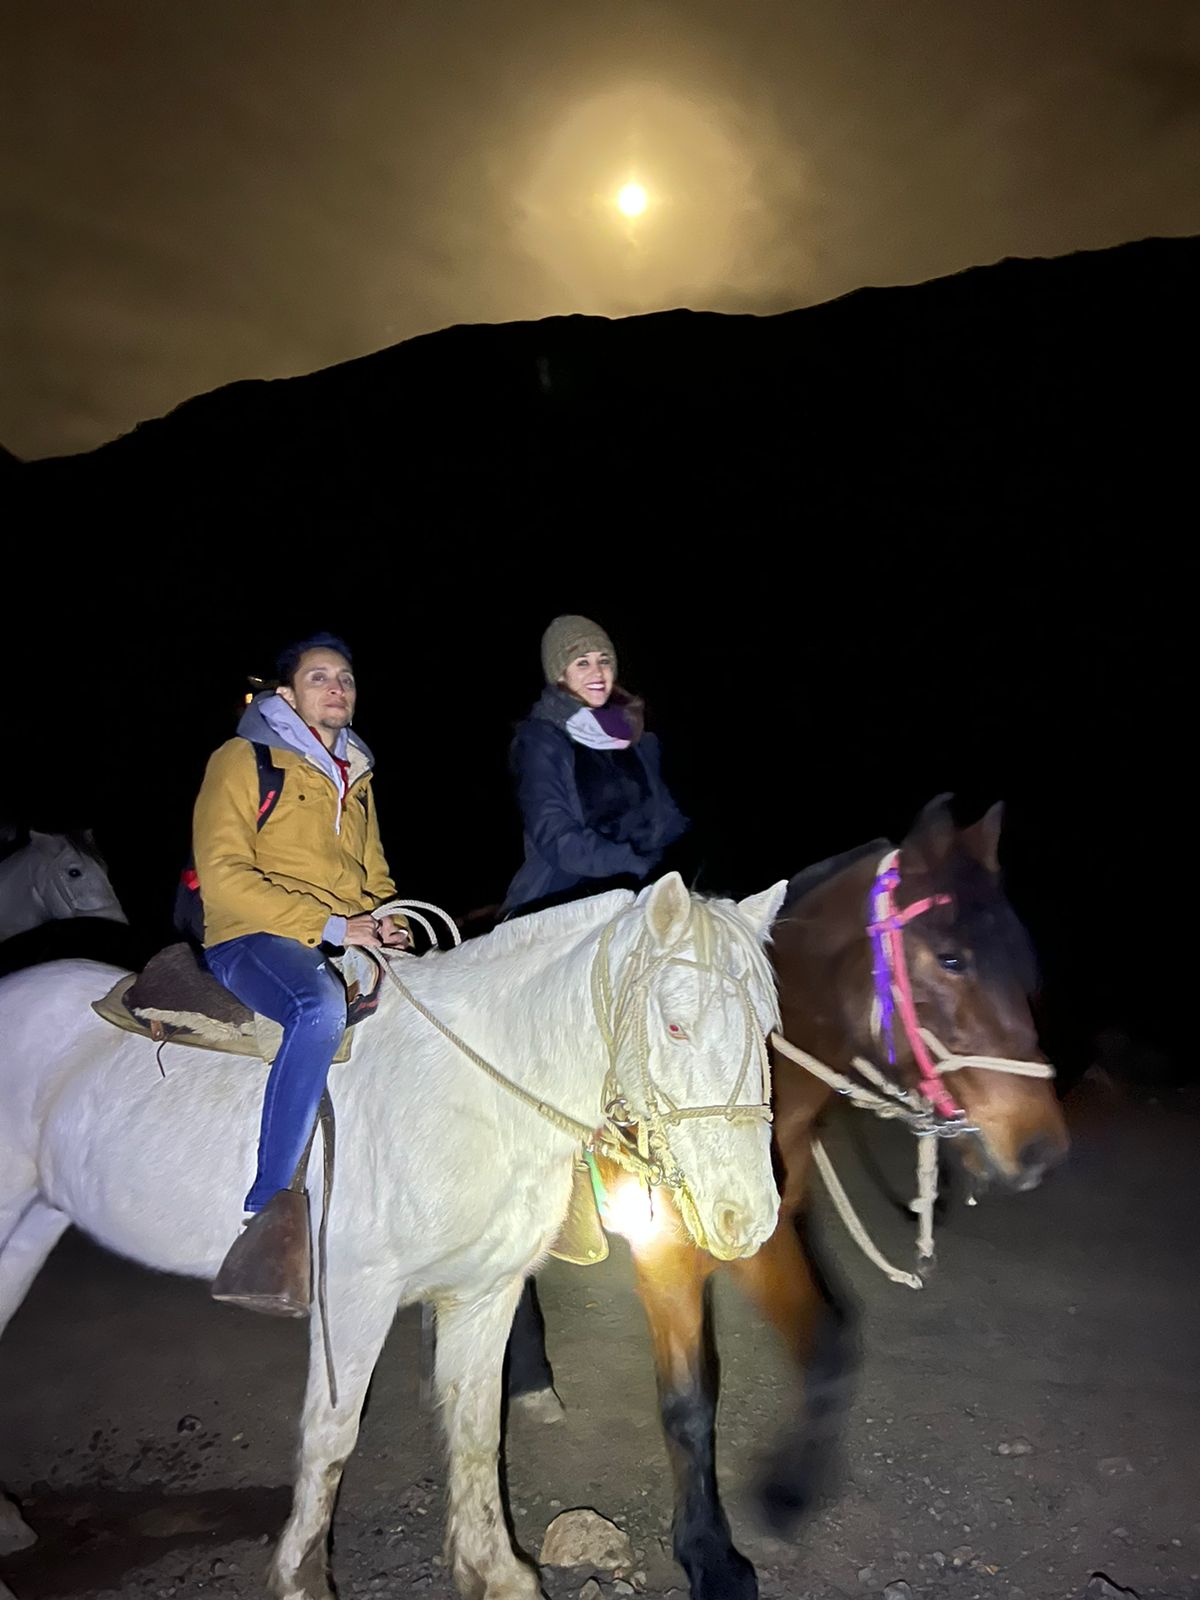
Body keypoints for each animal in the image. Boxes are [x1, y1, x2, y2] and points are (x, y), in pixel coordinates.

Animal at [0, 876, 790, 1600]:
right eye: (677, 1027)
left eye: (767, 1029)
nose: (748, 1219)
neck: (474, 1095)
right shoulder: (355, 1297)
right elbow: (330, 1438)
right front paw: (302, 1582)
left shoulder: (487, 1292)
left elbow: (476, 1429)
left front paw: (495, 1572)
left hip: (35, 1222)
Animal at [508, 800, 1068, 1600]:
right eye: (951, 959)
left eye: (1022, 961)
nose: (1041, 1151)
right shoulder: (663, 1247)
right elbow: (688, 1404)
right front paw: (710, 1555)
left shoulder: (766, 1236)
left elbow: (829, 1343)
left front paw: (786, 1492)